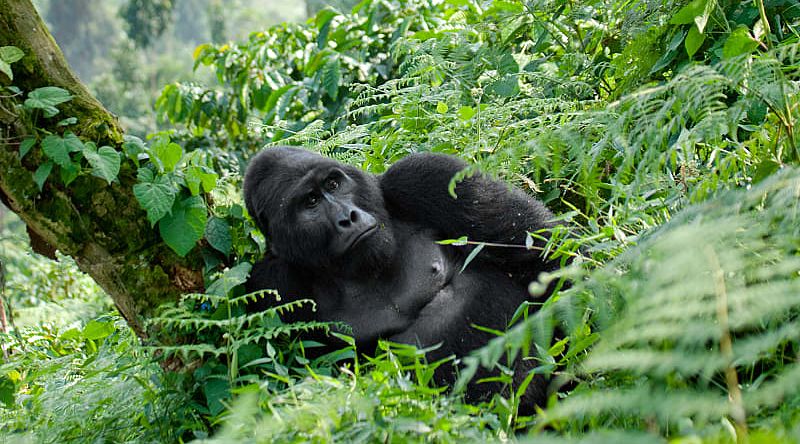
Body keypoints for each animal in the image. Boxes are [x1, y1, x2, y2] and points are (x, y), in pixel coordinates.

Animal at [242, 147, 556, 408]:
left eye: (333, 184)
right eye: (311, 202)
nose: (348, 217)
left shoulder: (424, 177)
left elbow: (544, 251)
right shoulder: (272, 283)